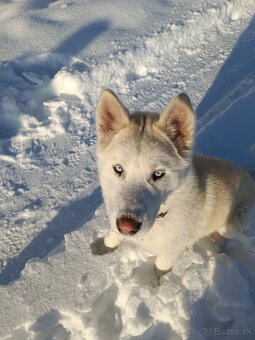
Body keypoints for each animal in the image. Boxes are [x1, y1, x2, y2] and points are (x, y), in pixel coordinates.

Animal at [95, 89, 255, 272]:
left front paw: (155, 279)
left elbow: (160, 266)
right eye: (118, 169)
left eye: (158, 174)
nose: (127, 227)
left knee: (242, 238)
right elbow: (111, 237)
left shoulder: (171, 252)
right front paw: (100, 251)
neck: (162, 215)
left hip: (231, 226)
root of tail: (248, 173)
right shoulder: (116, 216)